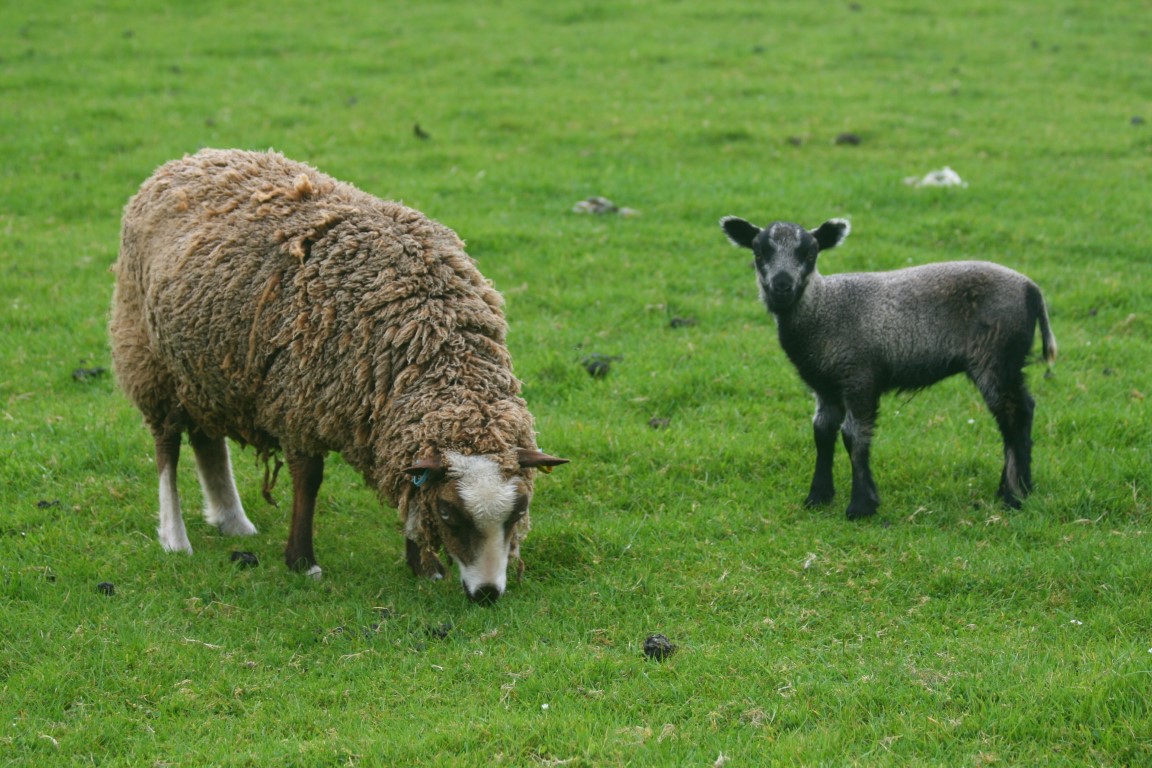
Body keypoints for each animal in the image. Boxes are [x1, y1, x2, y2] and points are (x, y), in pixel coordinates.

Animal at [110, 149, 569, 603]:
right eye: (447, 512)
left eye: (520, 511)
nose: (487, 593)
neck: (431, 337)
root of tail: (186, 160)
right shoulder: (297, 401)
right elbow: (308, 479)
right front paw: (302, 561)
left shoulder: (388, 421)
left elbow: (408, 483)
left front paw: (423, 566)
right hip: (149, 359)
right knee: (167, 445)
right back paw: (175, 537)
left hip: (204, 370)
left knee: (207, 440)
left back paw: (232, 521)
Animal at [723, 213, 1055, 520]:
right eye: (759, 253)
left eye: (810, 254)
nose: (781, 285)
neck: (822, 308)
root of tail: (1031, 288)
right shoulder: (826, 385)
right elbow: (822, 432)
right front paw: (818, 497)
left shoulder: (859, 375)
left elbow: (854, 435)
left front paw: (860, 506)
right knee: (1017, 413)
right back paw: (1014, 489)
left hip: (997, 354)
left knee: (1016, 413)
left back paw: (1015, 495)